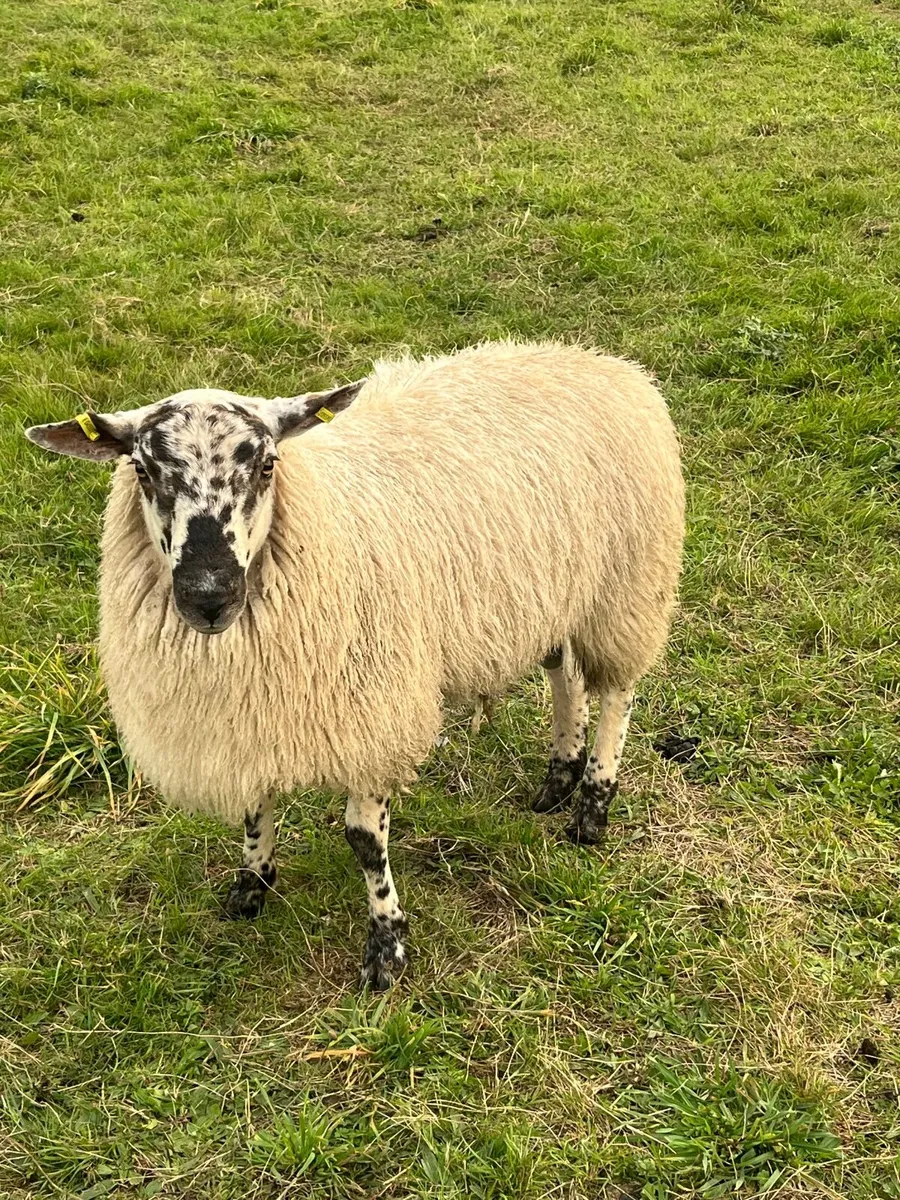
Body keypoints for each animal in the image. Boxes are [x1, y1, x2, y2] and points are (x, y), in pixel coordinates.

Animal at [25, 341, 685, 989]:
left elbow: (366, 842)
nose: (209, 595)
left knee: (618, 692)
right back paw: (558, 778)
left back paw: (592, 804)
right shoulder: (252, 713)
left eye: (268, 465)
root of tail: (596, 359)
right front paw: (251, 886)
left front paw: (386, 948)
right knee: (565, 676)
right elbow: (254, 811)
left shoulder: (374, 709)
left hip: (627, 585)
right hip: (553, 591)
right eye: (141, 469)